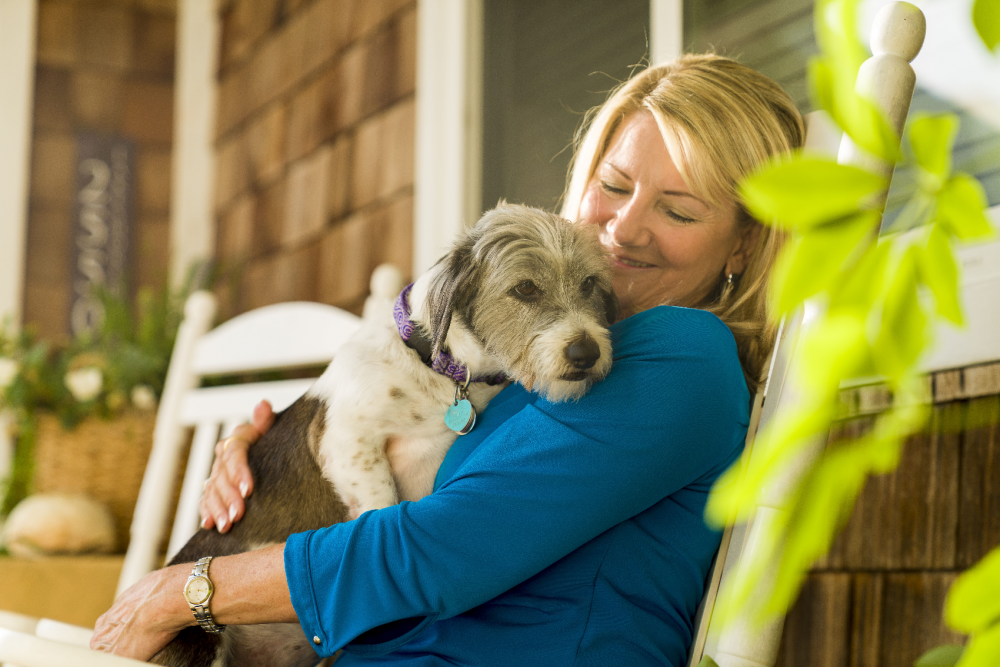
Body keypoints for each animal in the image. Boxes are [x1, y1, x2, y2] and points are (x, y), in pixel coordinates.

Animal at [153, 205, 616, 667]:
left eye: (589, 283)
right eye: (524, 289)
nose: (586, 352)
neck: (444, 372)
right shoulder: (345, 442)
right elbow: (380, 507)